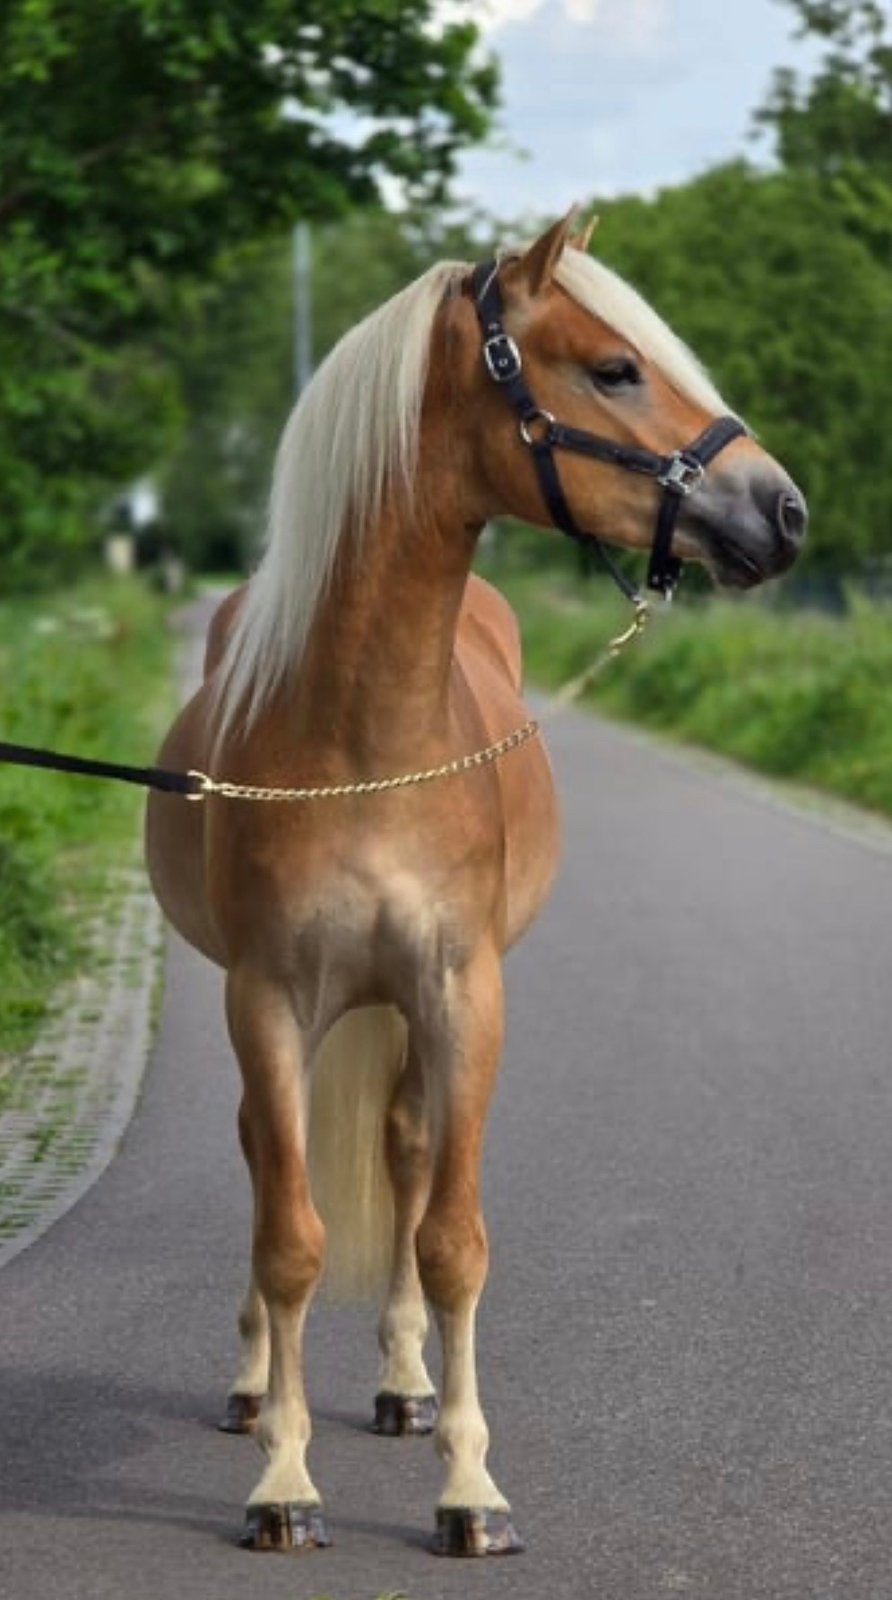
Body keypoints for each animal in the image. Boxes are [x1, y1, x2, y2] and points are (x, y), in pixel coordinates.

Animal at [145, 211, 807, 1557]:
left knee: (402, 1151)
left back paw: (403, 1383)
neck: (364, 738)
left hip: (409, 1008)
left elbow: (450, 1238)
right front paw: (283, 1481)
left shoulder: (465, 993)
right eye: (613, 368)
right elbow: (289, 1237)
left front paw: (468, 1488)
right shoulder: (265, 999)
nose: (785, 508)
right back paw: (254, 1384)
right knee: (270, 1163)